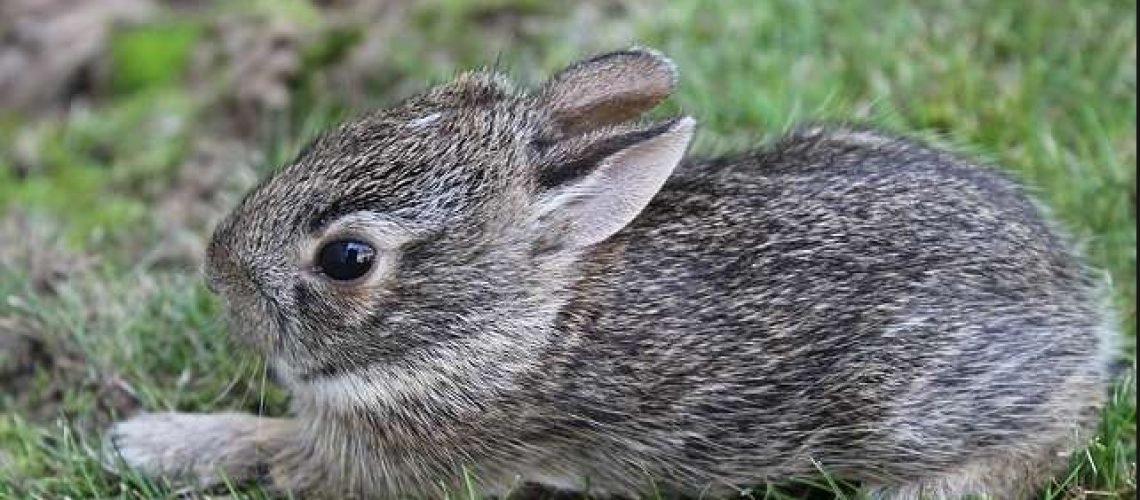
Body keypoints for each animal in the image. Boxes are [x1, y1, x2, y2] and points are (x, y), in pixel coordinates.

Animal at [105, 48, 1118, 499]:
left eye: (347, 259)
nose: (218, 272)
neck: (508, 321)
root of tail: (1079, 313)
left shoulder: (405, 461)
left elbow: (276, 448)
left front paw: (154, 441)